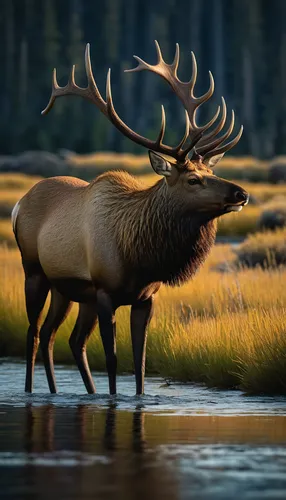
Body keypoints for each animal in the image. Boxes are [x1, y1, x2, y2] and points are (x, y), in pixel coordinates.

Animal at [11, 42, 248, 394]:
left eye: (212, 172)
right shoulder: (105, 293)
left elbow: (140, 363)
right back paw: (31, 391)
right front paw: (112, 398)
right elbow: (112, 360)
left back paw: (65, 392)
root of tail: (17, 204)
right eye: (193, 179)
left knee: (63, 338)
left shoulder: (145, 298)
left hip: (67, 290)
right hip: (35, 272)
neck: (139, 254)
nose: (241, 194)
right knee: (34, 333)